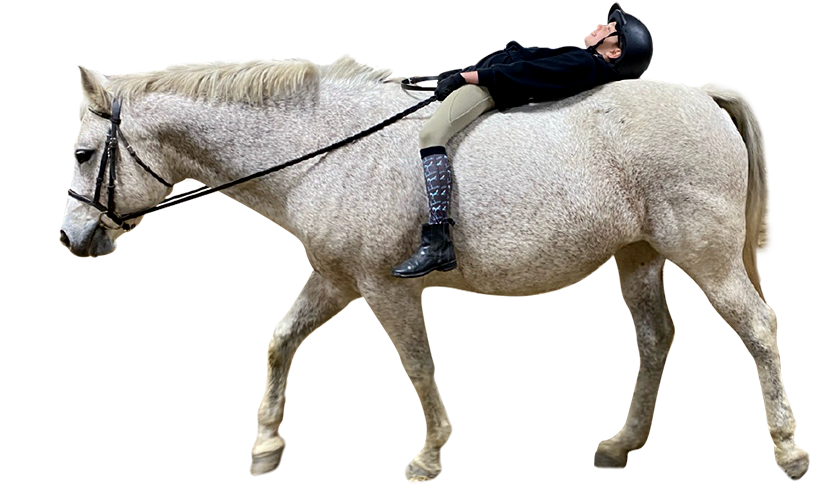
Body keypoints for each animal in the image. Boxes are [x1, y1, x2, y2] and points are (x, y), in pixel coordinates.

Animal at [59, 53, 810, 482]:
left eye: (81, 154)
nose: (70, 237)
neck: (322, 145)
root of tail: (703, 95)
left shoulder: (379, 285)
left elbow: (417, 364)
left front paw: (427, 454)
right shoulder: (335, 278)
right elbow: (280, 342)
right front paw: (267, 445)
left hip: (705, 255)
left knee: (758, 326)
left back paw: (787, 449)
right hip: (639, 257)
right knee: (657, 339)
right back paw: (622, 446)